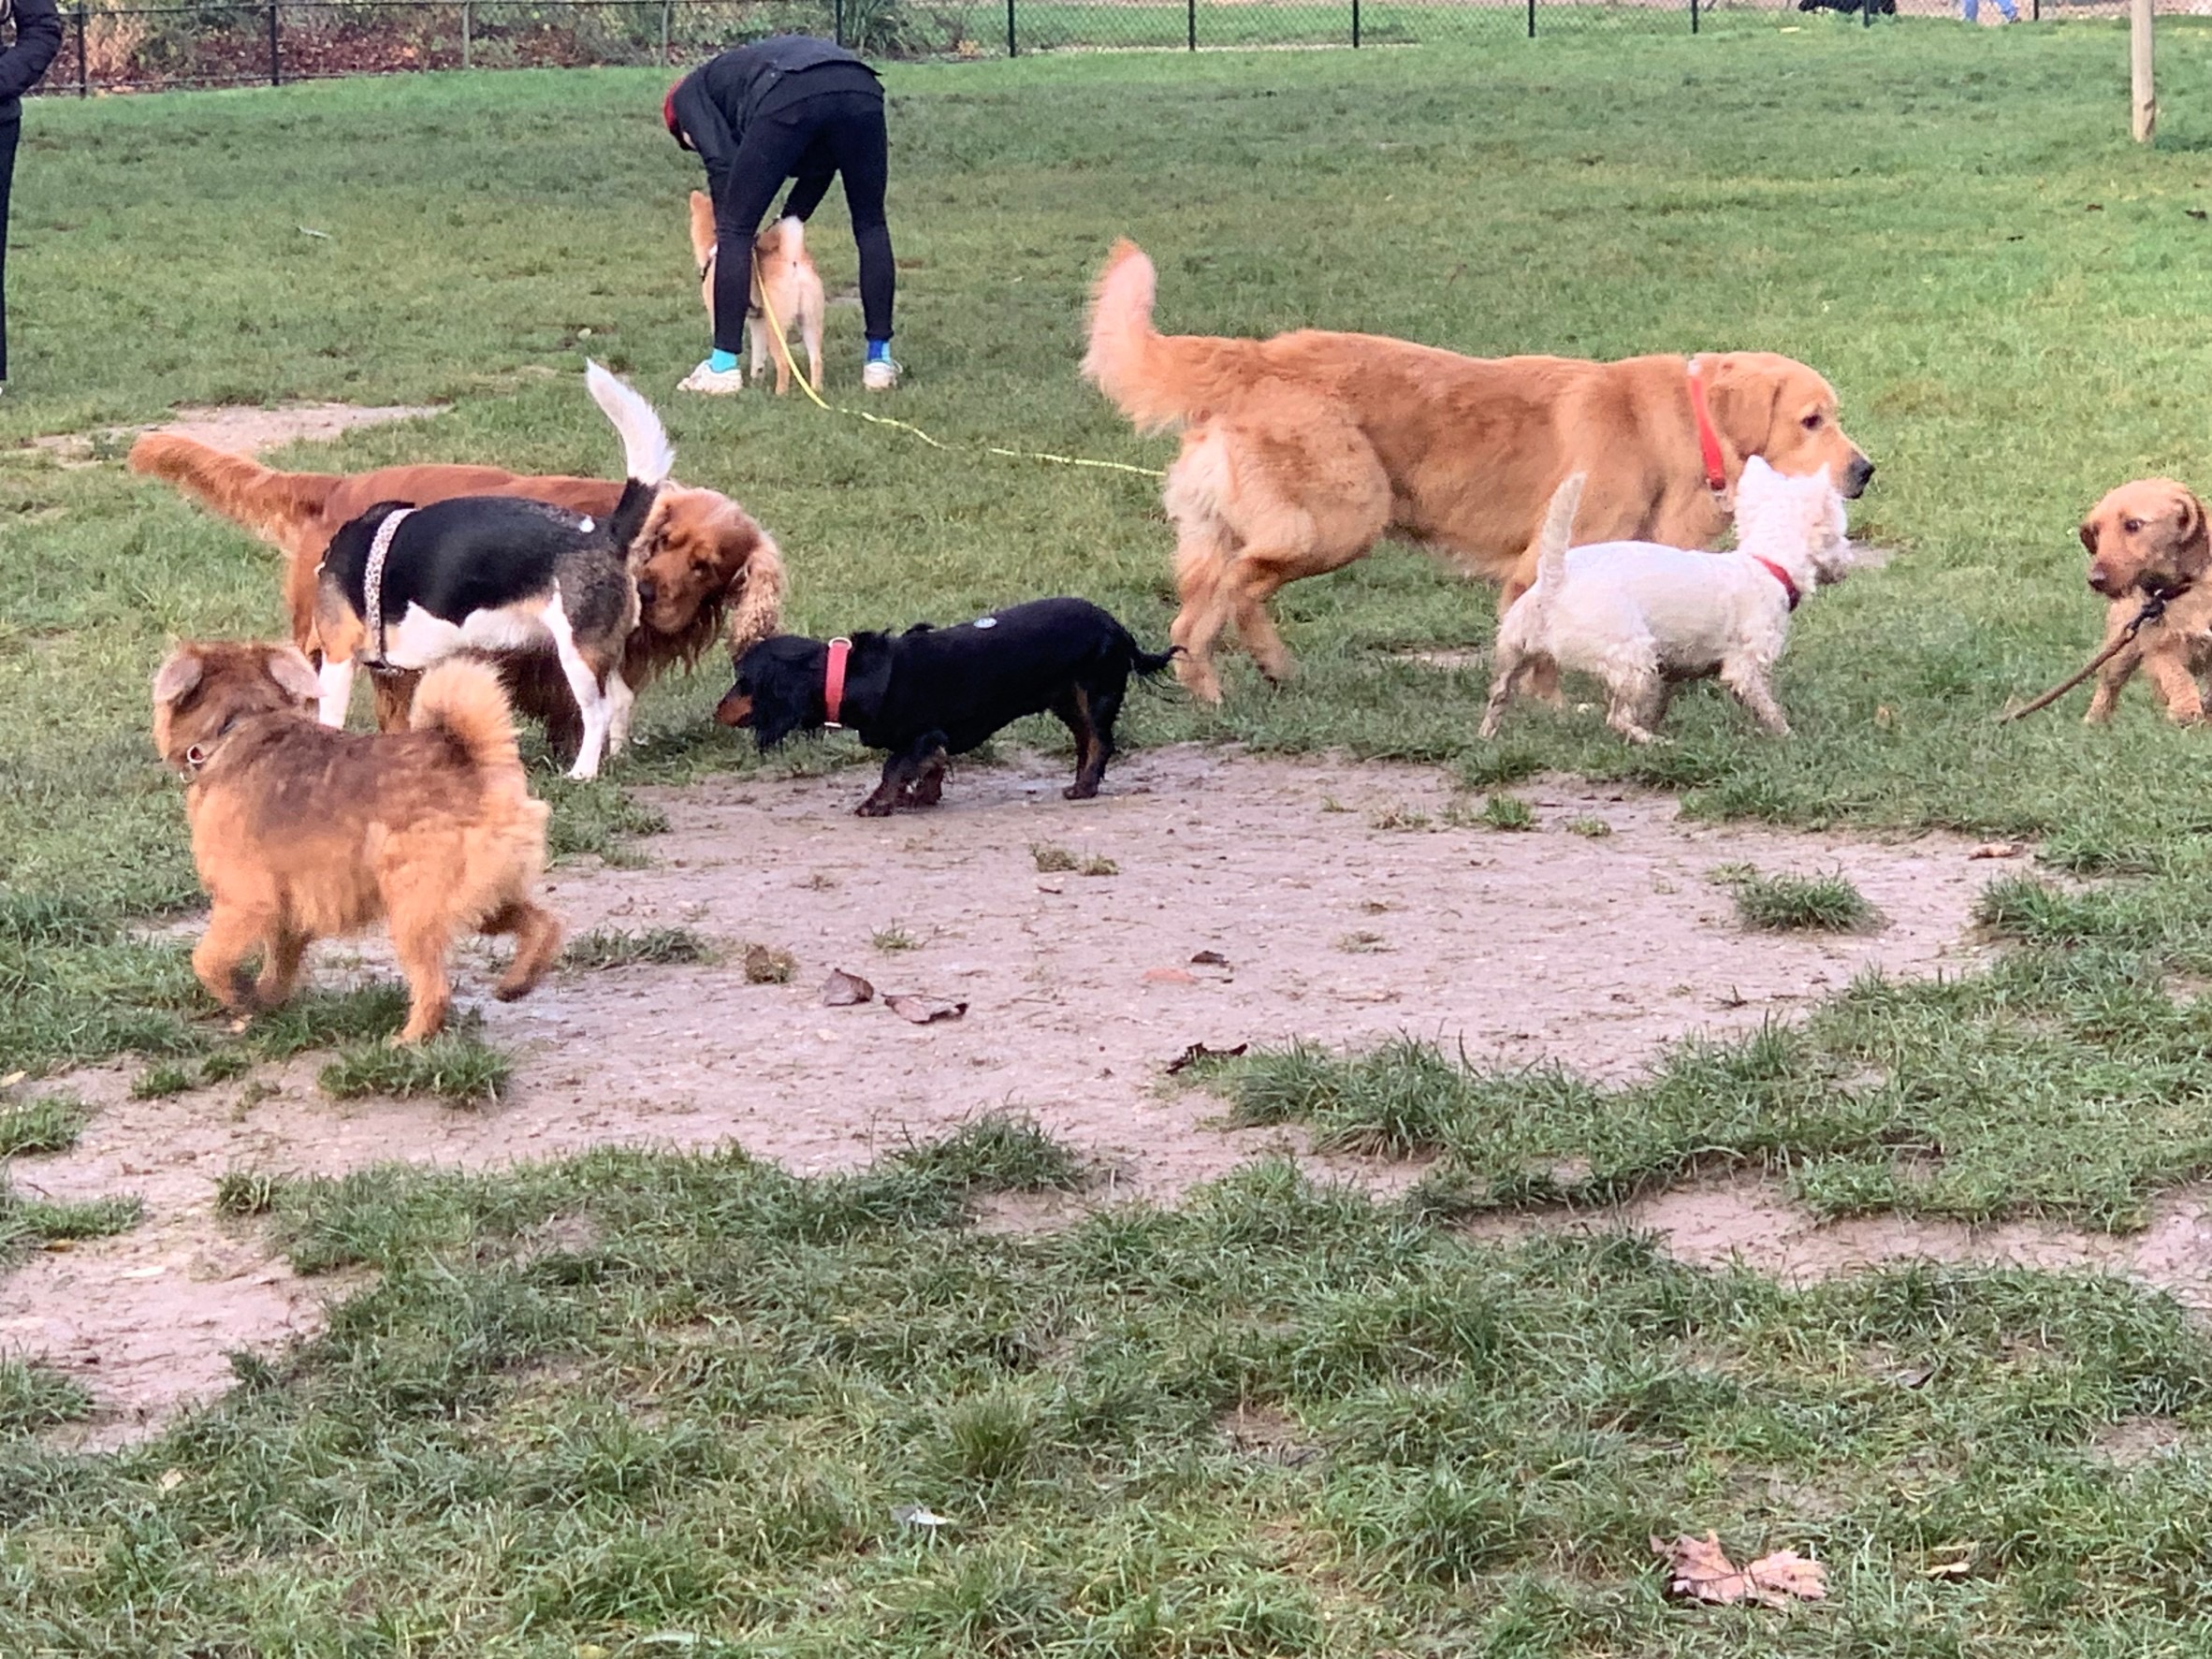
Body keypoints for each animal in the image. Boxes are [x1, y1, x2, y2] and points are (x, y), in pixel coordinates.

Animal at [154, 641, 561, 1043]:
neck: (240, 722)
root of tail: (475, 763)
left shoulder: (245, 901)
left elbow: (207, 959)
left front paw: (237, 995)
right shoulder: (290, 910)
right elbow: (277, 965)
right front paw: (260, 1004)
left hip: (414, 909)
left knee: (435, 988)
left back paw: (407, 1040)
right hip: (480, 897)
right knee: (542, 923)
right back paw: (517, 981)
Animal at [685, 191, 827, 396]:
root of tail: (793, 259)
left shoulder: (717, 313)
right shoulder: (757, 320)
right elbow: (758, 357)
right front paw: (755, 380)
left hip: (776, 326)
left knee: (784, 364)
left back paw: (780, 394)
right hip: (810, 321)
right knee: (816, 360)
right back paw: (816, 390)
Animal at [1079, 239, 1875, 703]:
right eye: (1812, 420)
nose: (1867, 469)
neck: (1677, 429)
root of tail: (1255, 354)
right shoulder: (1540, 569)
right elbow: (1545, 656)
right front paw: (1554, 712)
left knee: (1200, 609)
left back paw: (1225, 686)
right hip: (1344, 517)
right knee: (1234, 587)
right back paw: (1252, 673)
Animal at [2070, 473, 2212, 720]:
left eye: (2133, 524)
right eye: (2096, 531)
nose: (2094, 579)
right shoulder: (2158, 647)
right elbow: (2175, 675)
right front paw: (2185, 708)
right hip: (2121, 650)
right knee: (2108, 687)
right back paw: (2093, 722)